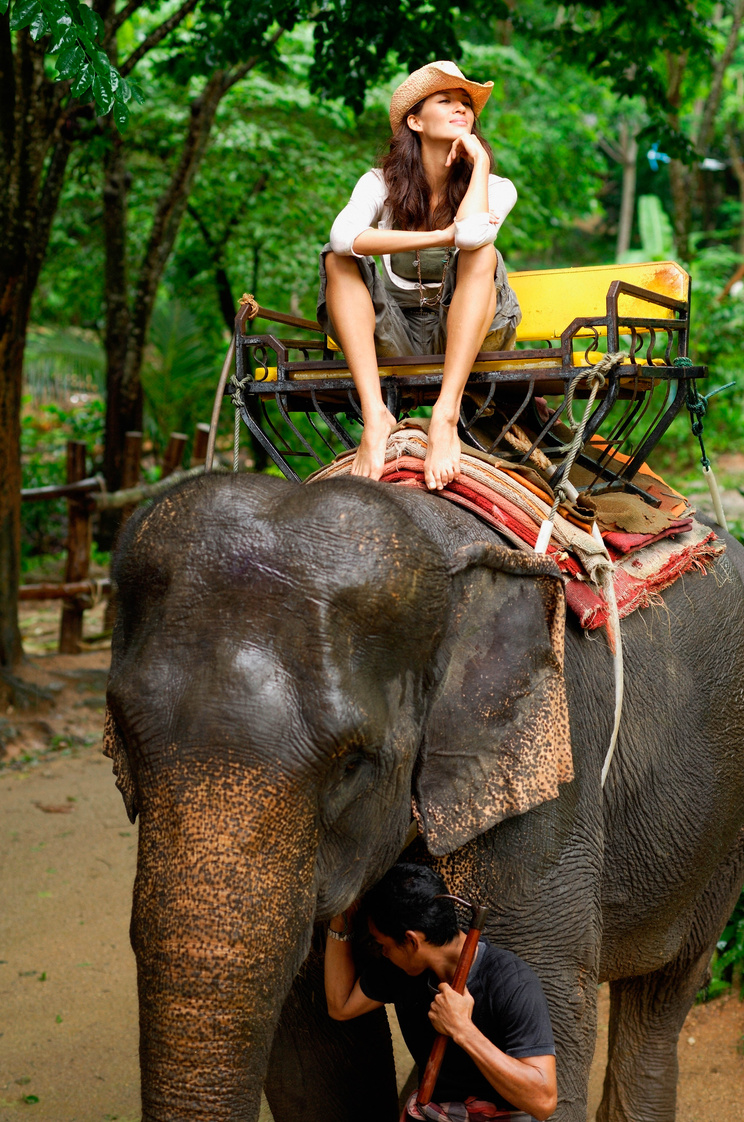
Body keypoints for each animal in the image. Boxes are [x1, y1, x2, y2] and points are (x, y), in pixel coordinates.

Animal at [103, 473, 744, 1122]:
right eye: (124, 736)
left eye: (351, 766)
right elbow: (310, 1057)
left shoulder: (549, 783)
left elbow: (552, 1023)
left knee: (668, 987)